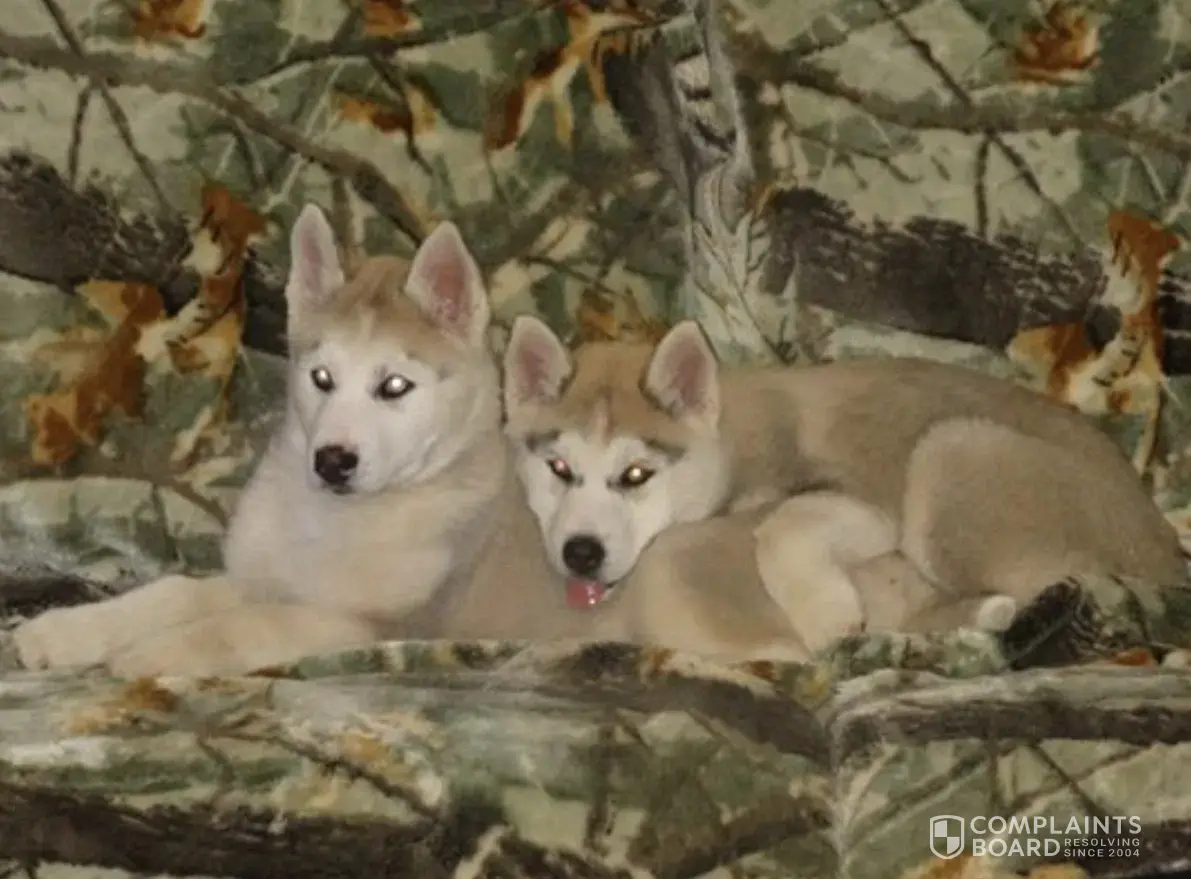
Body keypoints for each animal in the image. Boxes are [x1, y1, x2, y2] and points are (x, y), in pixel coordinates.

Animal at [501, 314, 1188, 653]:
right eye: (558, 468)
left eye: (636, 474)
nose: (580, 554)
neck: (730, 439)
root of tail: (1168, 553)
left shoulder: (867, 503)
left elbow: (781, 527)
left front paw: (828, 615)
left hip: (949, 452)